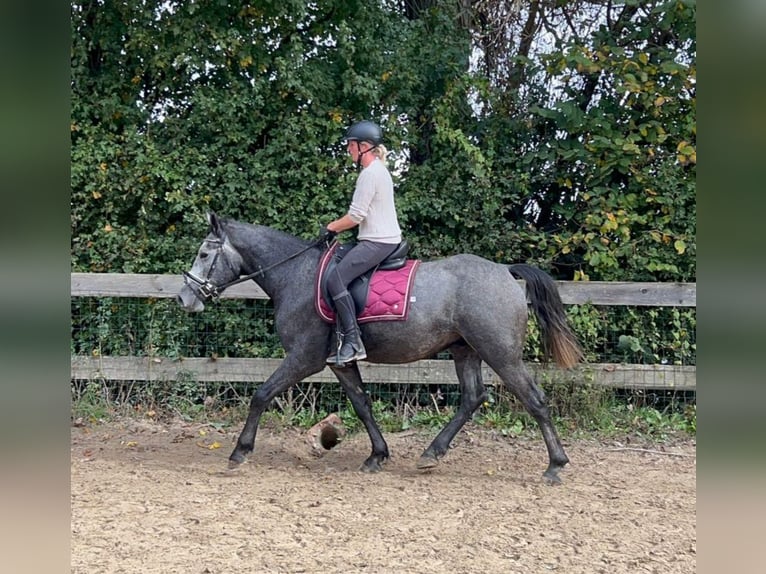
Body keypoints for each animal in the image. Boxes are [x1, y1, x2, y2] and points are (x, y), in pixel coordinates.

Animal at [180, 212, 584, 486]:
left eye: (204, 254)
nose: (185, 297)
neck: (296, 275)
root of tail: (504, 272)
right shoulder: (339, 362)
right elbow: (362, 404)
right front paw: (377, 455)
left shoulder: (304, 358)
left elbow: (261, 395)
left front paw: (240, 452)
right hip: (464, 350)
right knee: (473, 398)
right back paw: (431, 454)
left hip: (500, 352)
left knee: (534, 399)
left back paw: (555, 465)